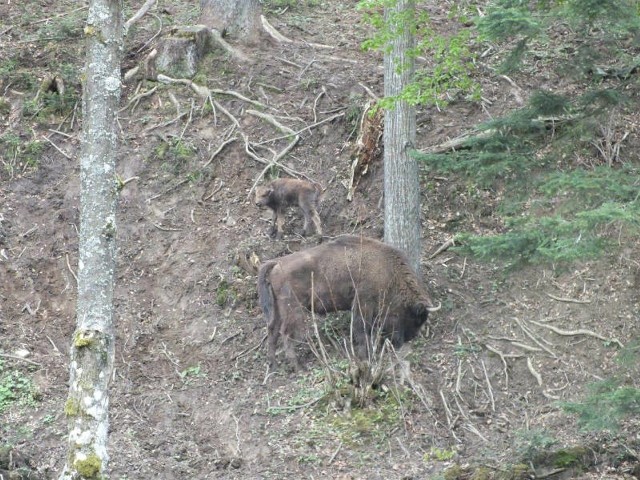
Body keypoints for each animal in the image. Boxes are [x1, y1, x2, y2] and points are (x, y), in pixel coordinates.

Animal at [256, 235, 440, 372]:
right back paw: (299, 368)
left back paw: (273, 366)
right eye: (415, 317)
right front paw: (365, 356)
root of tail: (277, 263)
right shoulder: (363, 304)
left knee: (272, 331)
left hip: (277, 309)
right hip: (293, 309)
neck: (387, 271)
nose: (408, 338)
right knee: (285, 333)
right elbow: (362, 330)